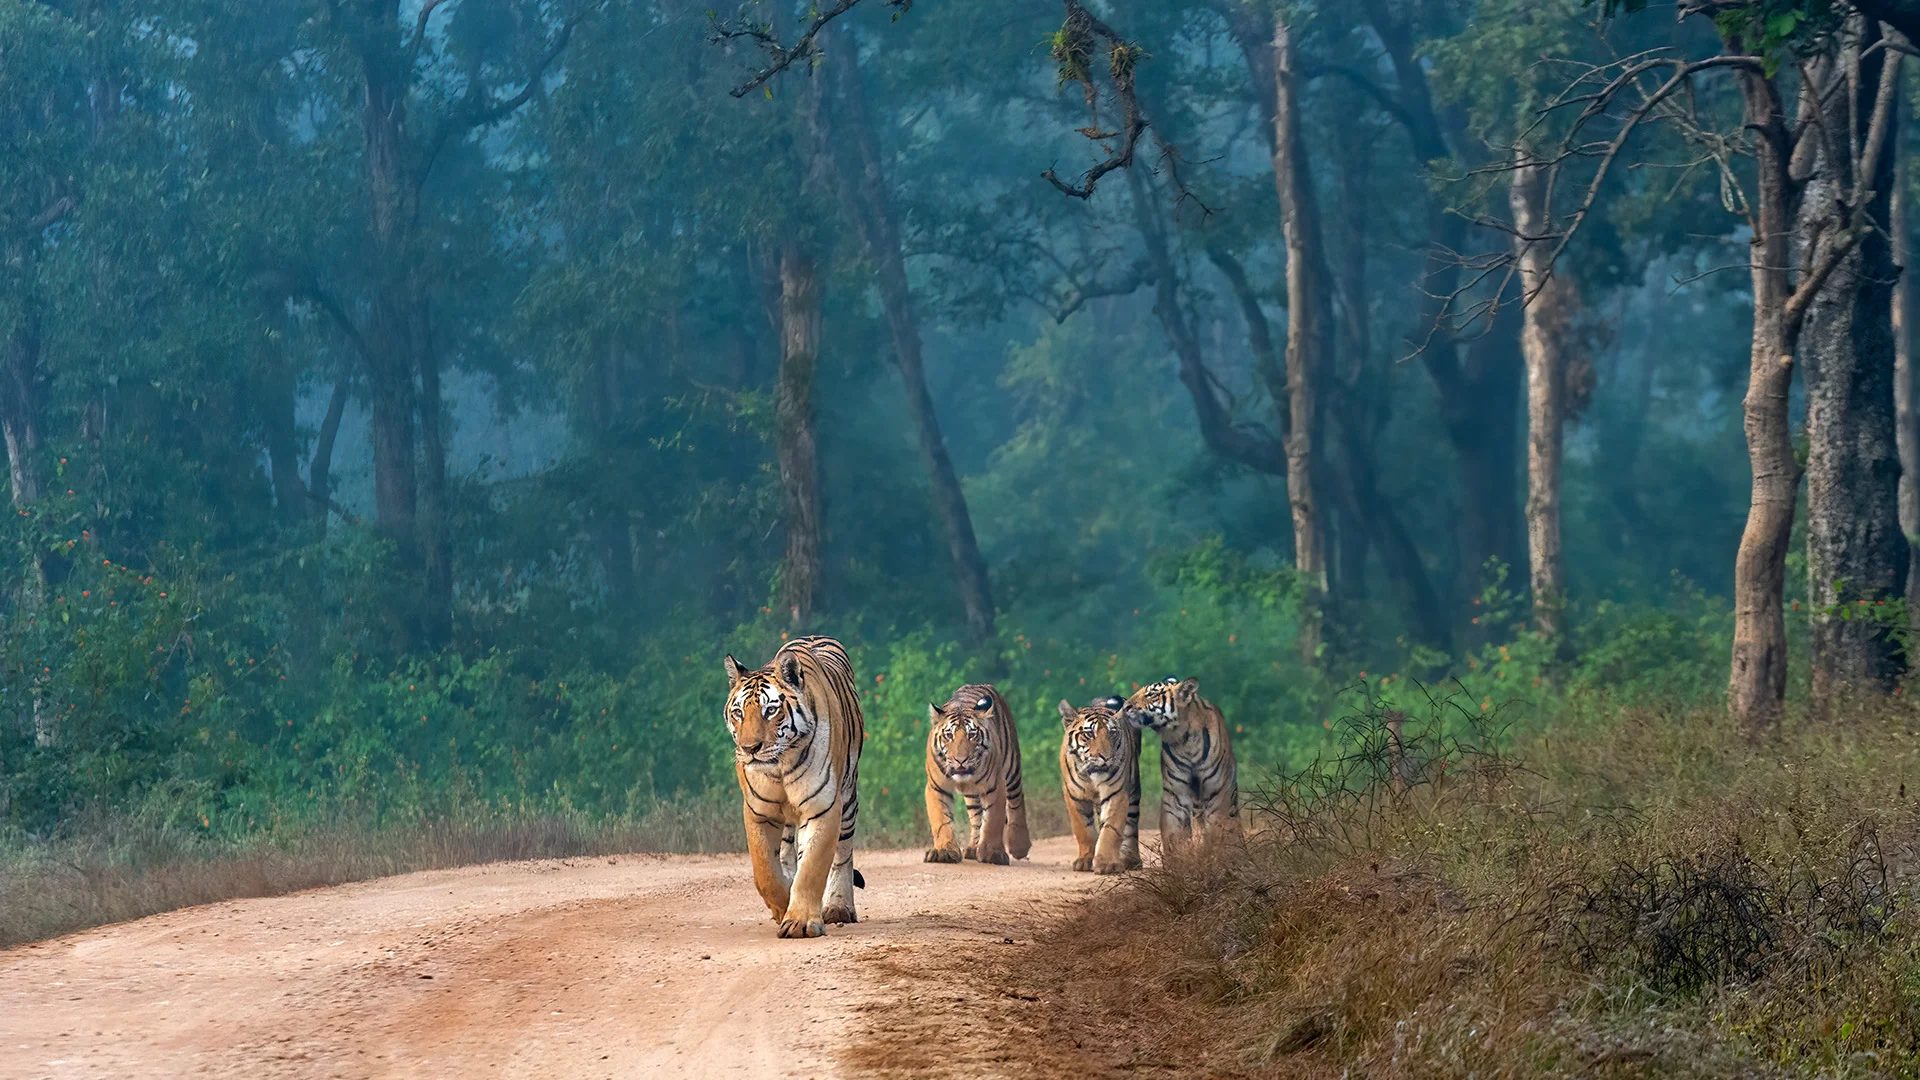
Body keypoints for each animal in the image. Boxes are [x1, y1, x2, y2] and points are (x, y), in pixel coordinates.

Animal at [721, 630, 867, 933]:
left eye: (770, 710)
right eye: (738, 712)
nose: (749, 748)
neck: (780, 767)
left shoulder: (823, 806)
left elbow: (812, 867)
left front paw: (799, 921)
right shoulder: (758, 811)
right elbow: (765, 871)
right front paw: (782, 907)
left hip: (848, 799)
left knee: (842, 854)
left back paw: (839, 908)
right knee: (787, 851)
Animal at [921, 680, 1029, 864]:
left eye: (972, 734)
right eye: (948, 735)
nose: (960, 760)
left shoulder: (995, 786)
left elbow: (993, 821)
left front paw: (992, 853)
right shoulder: (936, 787)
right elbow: (941, 821)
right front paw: (944, 851)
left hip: (1012, 767)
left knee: (1016, 800)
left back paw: (1019, 847)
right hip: (971, 794)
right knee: (977, 816)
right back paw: (973, 848)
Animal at [1059, 691, 1128, 868]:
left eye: (1112, 733)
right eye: (1089, 734)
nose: (1106, 757)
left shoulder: (1117, 793)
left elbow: (1111, 829)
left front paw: (1107, 863)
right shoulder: (1073, 794)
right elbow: (1083, 829)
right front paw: (1085, 859)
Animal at [1121, 676, 1236, 845]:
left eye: (1151, 694)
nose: (1125, 706)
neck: (1185, 741)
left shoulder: (1217, 793)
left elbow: (1217, 834)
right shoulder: (1176, 795)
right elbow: (1175, 837)